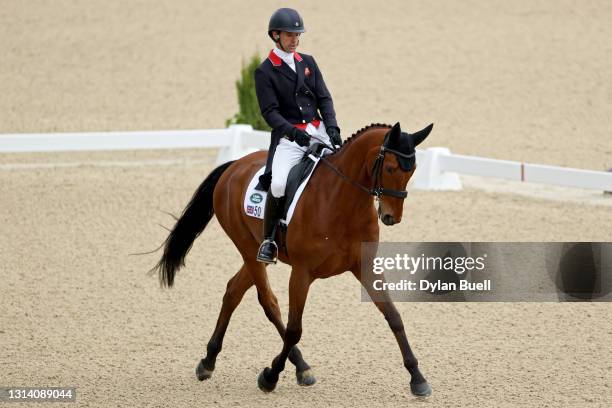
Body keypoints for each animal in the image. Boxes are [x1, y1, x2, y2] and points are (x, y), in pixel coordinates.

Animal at [155, 121, 438, 396]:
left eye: (412, 171)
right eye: (390, 168)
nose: (391, 217)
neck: (343, 202)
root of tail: (235, 165)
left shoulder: (366, 266)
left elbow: (394, 316)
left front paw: (418, 378)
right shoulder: (302, 272)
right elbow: (294, 329)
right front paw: (270, 377)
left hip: (252, 253)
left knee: (234, 290)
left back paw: (209, 361)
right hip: (248, 249)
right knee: (268, 302)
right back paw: (299, 367)